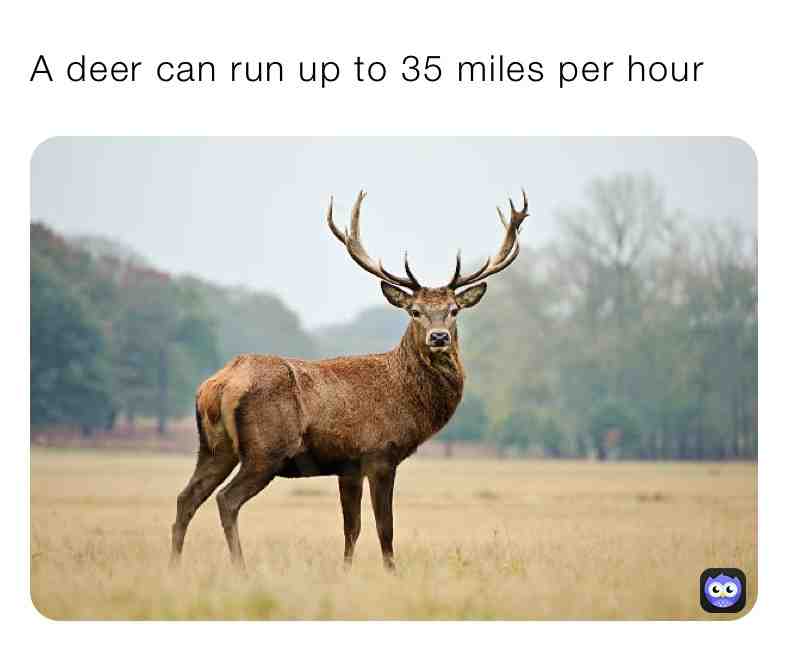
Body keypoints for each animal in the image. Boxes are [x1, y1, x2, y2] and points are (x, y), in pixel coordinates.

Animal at [170, 189, 528, 572]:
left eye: (454, 310)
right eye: (414, 311)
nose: (439, 337)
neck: (407, 398)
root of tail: (219, 384)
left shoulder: (348, 466)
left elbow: (351, 529)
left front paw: (345, 571)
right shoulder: (380, 454)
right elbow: (385, 527)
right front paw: (391, 572)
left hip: (213, 447)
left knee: (186, 497)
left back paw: (174, 565)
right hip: (265, 450)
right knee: (226, 500)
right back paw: (240, 569)